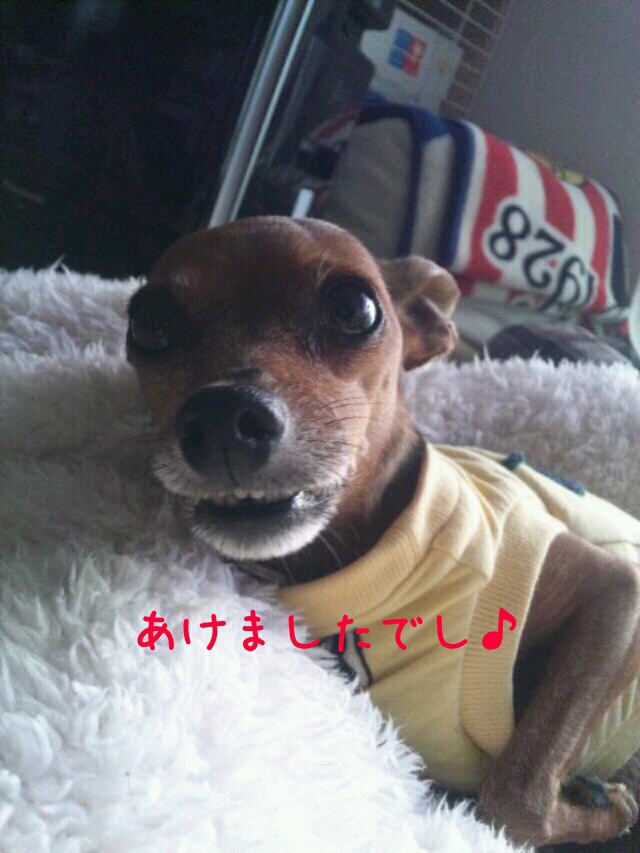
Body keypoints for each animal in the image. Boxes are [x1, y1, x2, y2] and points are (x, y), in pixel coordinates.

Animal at [126, 216, 640, 848]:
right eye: (150, 325)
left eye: (354, 307)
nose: (222, 417)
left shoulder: (615, 589)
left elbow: (512, 801)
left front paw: (602, 810)